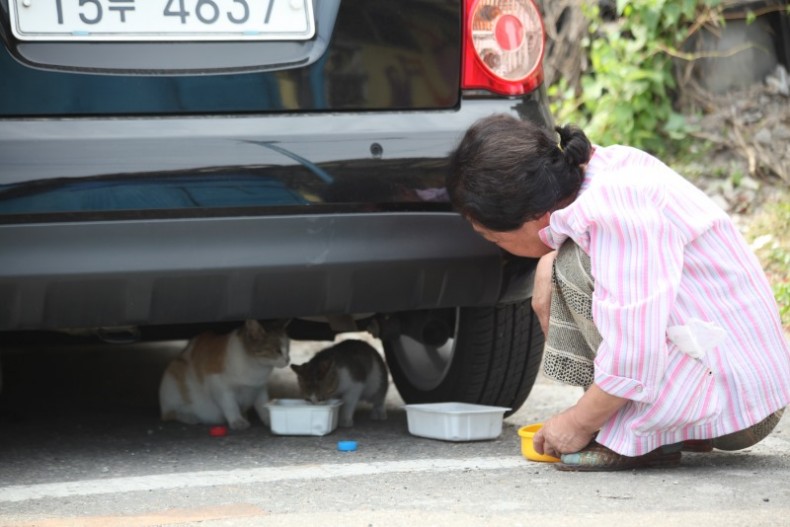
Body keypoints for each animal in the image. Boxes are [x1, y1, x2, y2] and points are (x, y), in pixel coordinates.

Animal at [157, 320, 288, 432]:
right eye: (277, 350)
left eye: (288, 349)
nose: (288, 359)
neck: (257, 368)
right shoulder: (220, 386)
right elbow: (230, 405)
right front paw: (237, 421)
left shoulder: (259, 389)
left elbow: (263, 405)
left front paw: (269, 419)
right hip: (174, 373)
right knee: (169, 414)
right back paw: (189, 417)